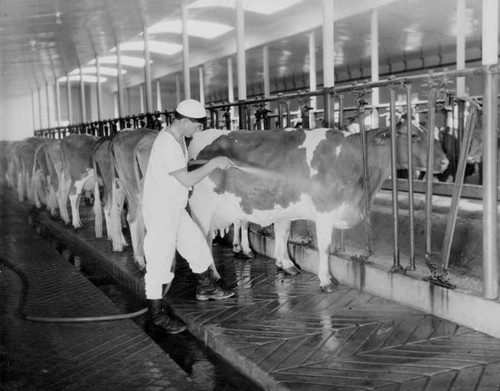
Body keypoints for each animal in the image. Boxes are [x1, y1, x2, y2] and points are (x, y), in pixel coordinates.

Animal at [188, 125, 450, 290]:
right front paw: (325, 280)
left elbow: (284, 234)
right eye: (414, 135)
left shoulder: (289, 207)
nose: (446, 161)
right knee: (203, 239)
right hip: (202, 207)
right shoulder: (325, 209)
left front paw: (287, 265)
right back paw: (215, 276)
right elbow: (324, 246)